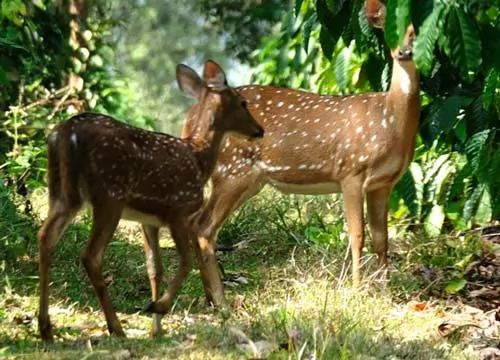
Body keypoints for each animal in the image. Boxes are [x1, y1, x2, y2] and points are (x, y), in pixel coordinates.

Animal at [37, 59, 264, 340]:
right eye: (243, 102)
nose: (260, 130)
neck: (198, 158)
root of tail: (65, 133)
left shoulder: (148, 220)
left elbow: (155, 268)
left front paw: (157, 328)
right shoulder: (179, 209)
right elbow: (186, 260)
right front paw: (159, 307)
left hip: (62, 194)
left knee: (45, 238)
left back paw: (45, 327)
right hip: (109, 196)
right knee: (91, 256)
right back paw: (116, 328)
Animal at [186, 0, 420, 306]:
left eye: (414, 32)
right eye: (389, 32)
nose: (403, 52)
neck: (389, 121)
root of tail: (189, 118)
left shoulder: (384, 183)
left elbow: (382, 238)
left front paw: (384, 294)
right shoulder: (351, 170)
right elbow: (357, 235)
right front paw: (357, 292)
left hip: (245, 179)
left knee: (195, 223)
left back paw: (211, 298)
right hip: (232, 170)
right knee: (204, 227)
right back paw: (221, 300)